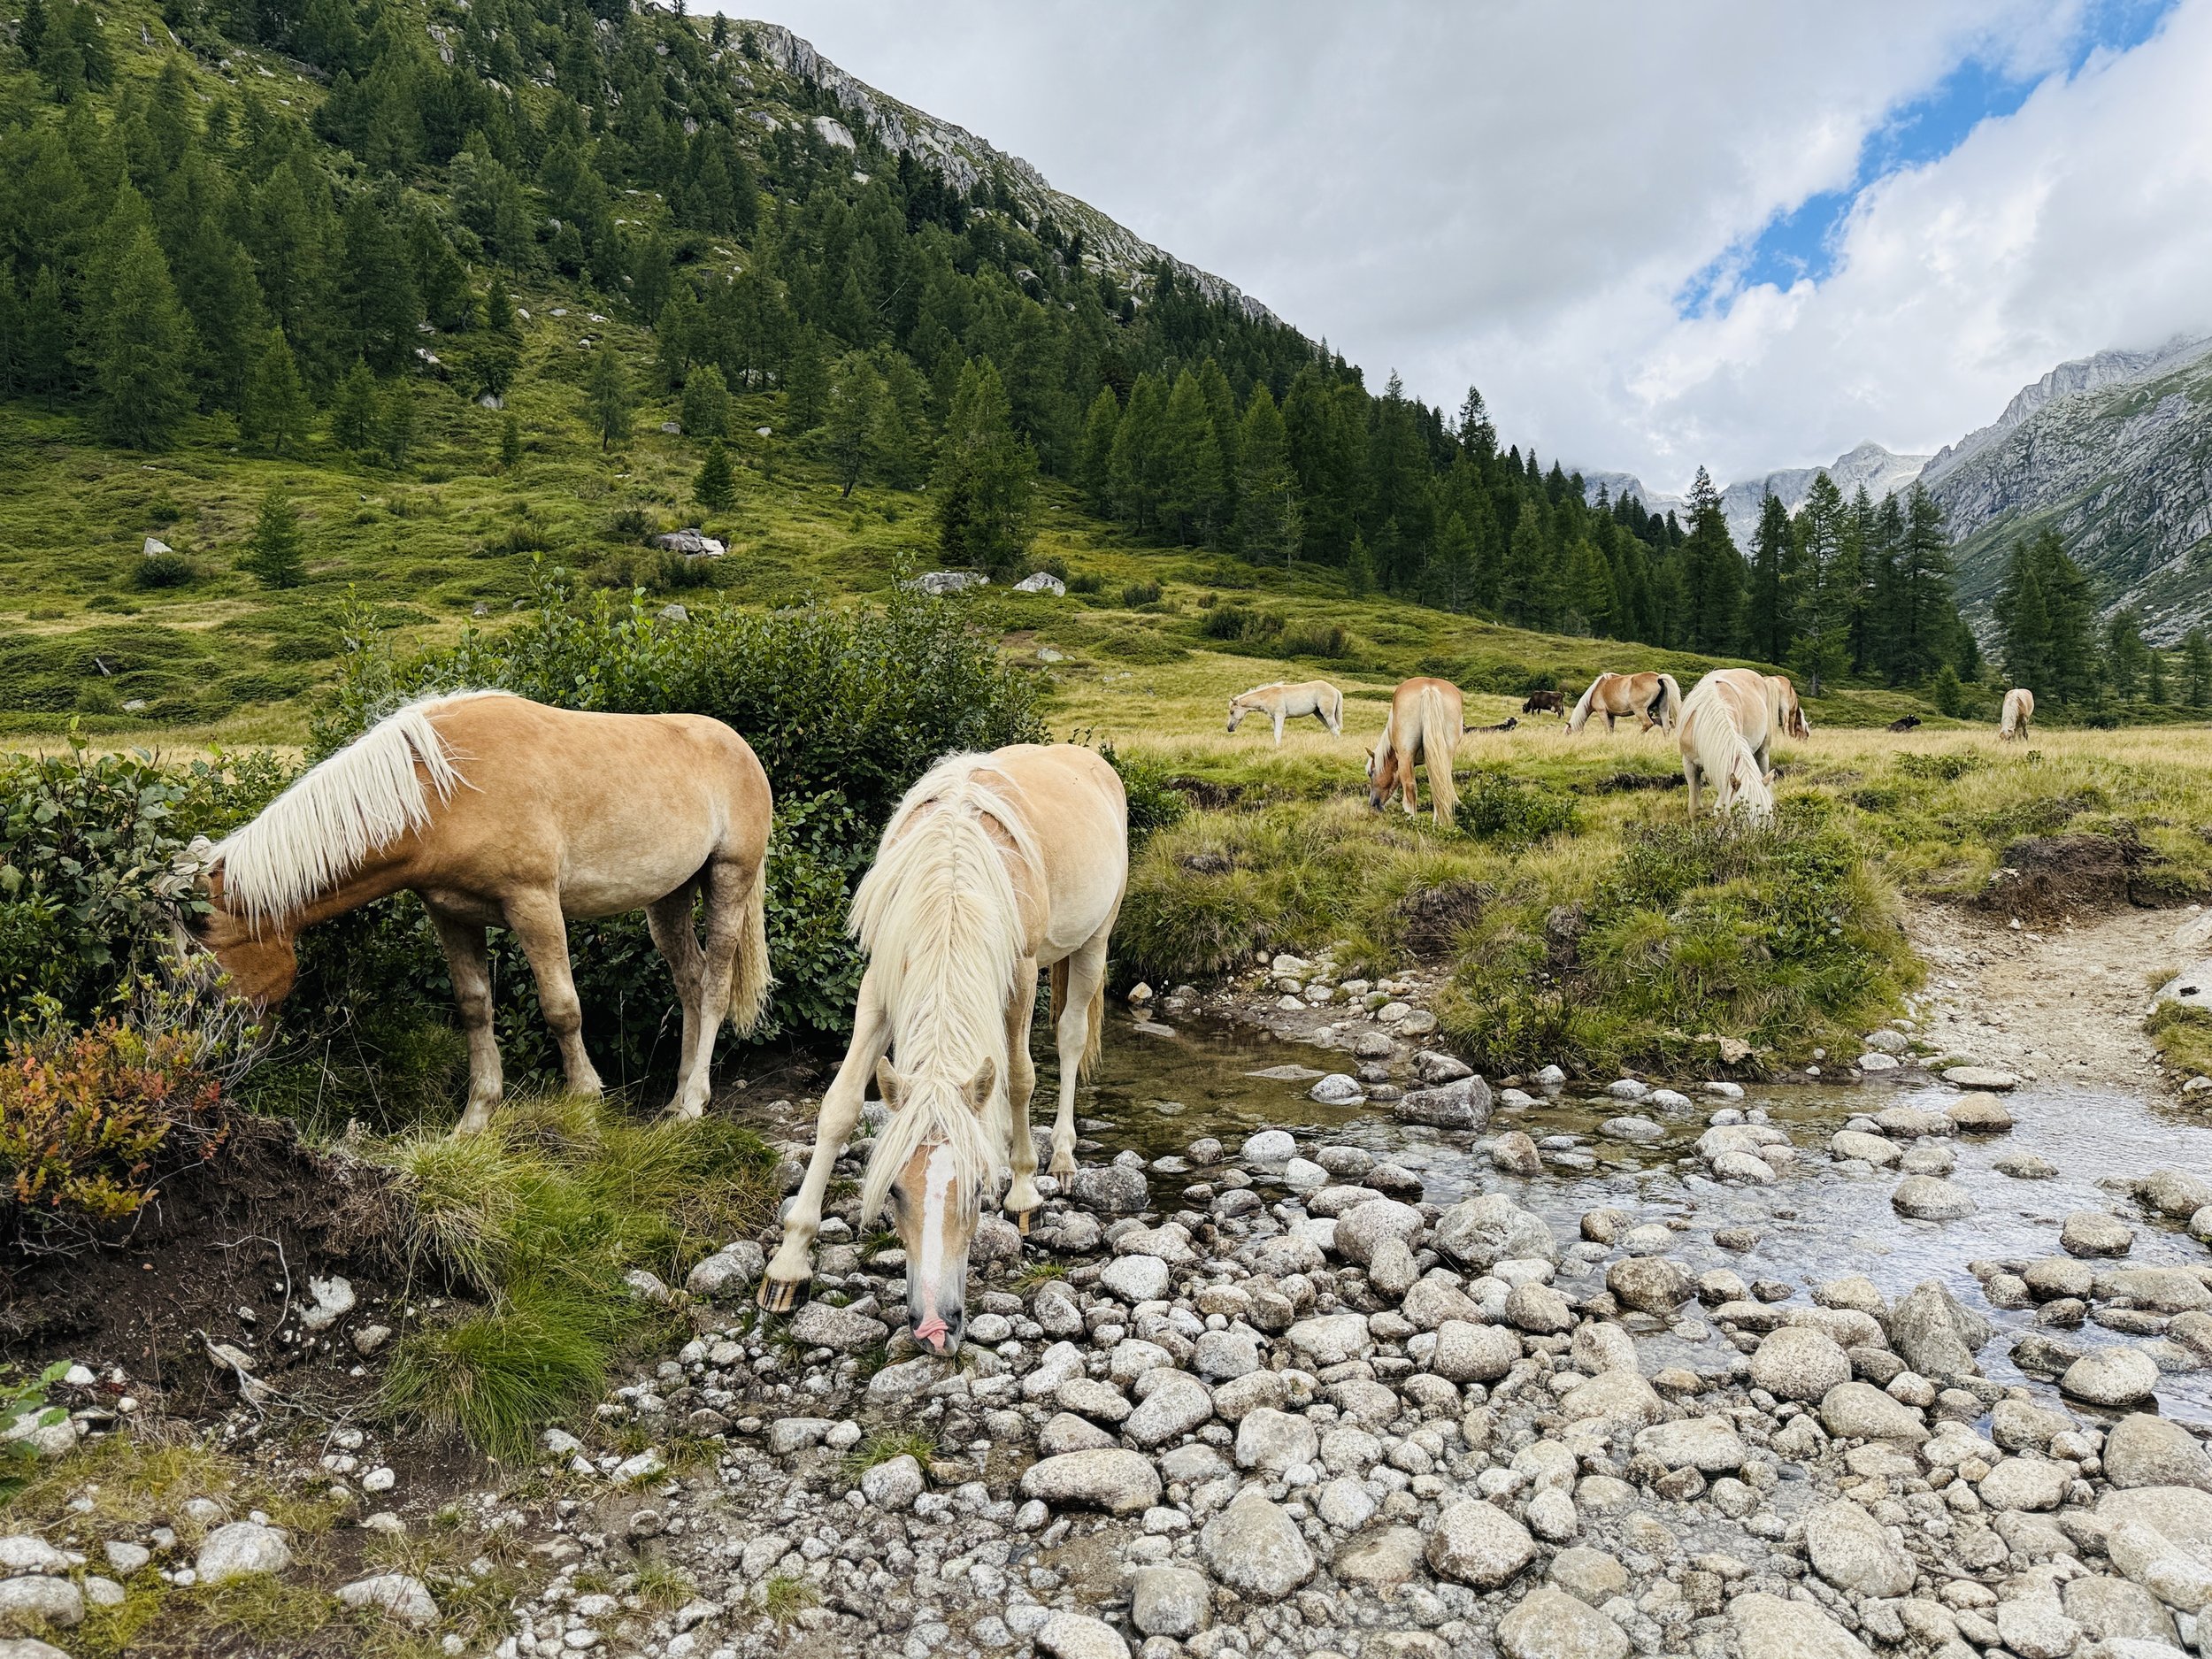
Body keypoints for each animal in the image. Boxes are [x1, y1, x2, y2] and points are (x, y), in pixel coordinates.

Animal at [178, 691, 773, 1131]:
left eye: (207, 972)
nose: (217, 1059)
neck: (444, 792)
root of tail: (740, 747)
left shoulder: (533, 904)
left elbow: (562, 1007)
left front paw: (583, 1102)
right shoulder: (453, 916)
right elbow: (474, 1008)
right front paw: (474, 1121)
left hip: (730, 877)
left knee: (715, 984)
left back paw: (693, 1102)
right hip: (669, 897)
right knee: (690, 980)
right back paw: (676, 1101)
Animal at [758, 745, 1128, 1355]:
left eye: (978, 1191)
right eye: (893, 1192)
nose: (934, 1326)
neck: (952, 874)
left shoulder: (1020, 974)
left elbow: (1021, 1077)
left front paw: (1023, 1194)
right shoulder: (881, 983)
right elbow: (838, 1107)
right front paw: (788, 1267)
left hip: (1095, 940)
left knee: (1070, 1038)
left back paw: (1063, 1159)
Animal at [1227, 679, 1344, 745]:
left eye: (1232, 712)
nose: (1229, 728)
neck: (1268, 697)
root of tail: (1335, 690)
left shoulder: (1280, 716)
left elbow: (1278, 734)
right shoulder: (1274, 719)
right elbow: (1275, 734)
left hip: (1327, 714)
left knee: (1335, 729)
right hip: (1319, 714)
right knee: (1332, 730)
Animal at [1365, 677, 1464, 827]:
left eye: (1371, 773)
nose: (1373, 804)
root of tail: (1429, 689)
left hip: (1406, 756)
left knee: (1410, 789)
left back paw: (1411, 821)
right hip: (1446, 755)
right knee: (1441, 784)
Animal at [1568, 671, 1682, 734]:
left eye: (1568, 733)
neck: (1597, 689)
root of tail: (1658, 678)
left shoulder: (1602, 712)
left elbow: (1607, 730)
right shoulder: (1611, 715)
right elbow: (1611, 730)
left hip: (1639, 710)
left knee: (1647, 724)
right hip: (1663, 709)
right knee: (1666, 728)